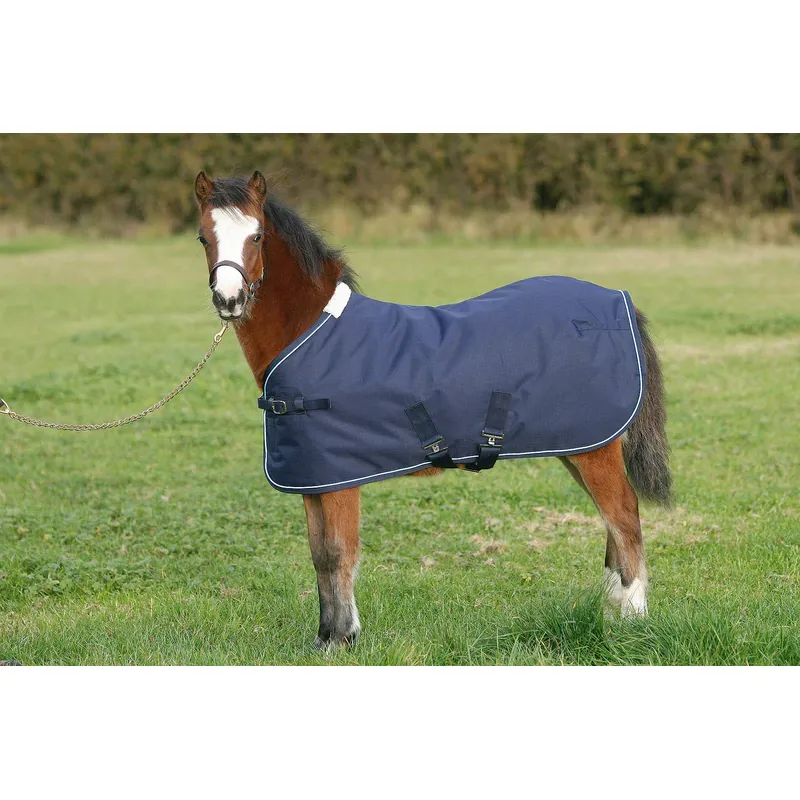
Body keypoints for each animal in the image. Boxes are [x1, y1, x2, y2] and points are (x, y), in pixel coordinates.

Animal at [194, 170, 672, 648]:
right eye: (203, 237)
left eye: (257, 235)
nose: (229, 300)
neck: (313, 334)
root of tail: (620, 303)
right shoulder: (313, 479)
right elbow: (318, 556)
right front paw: (325, 637)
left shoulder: (339, 480)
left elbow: (338, 552)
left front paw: (344, 638)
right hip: (580, 445)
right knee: (612, 523)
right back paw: (611, 612)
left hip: (594, 450)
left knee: (624, 517)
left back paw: (631, 619)